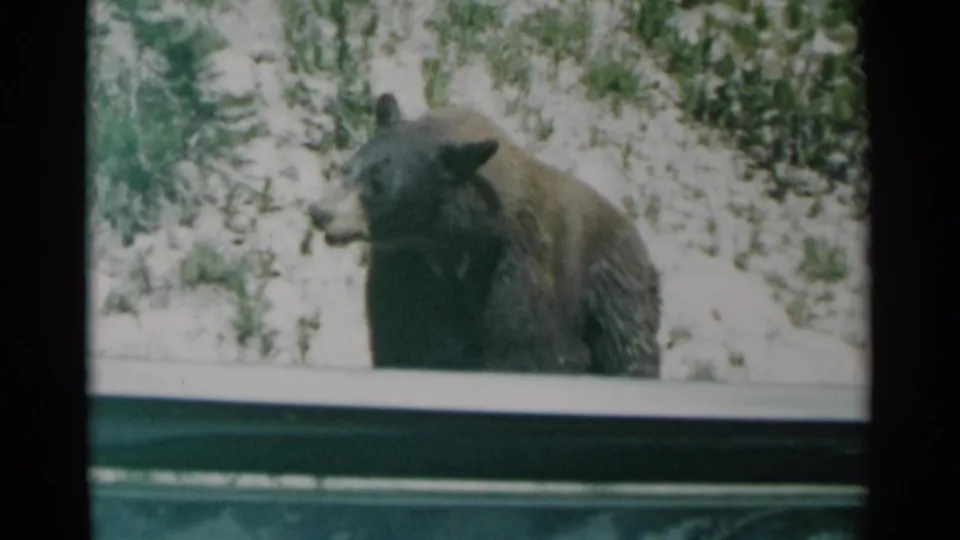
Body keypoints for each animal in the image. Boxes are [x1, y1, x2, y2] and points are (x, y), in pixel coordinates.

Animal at [308, 92, 661, 377]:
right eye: (347, 168)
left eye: (378, 184)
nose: (319, 212)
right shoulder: (407, 272)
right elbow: (405, 339)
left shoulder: (519, 272)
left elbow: (523, 348)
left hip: (612, 290)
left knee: (627, 348)